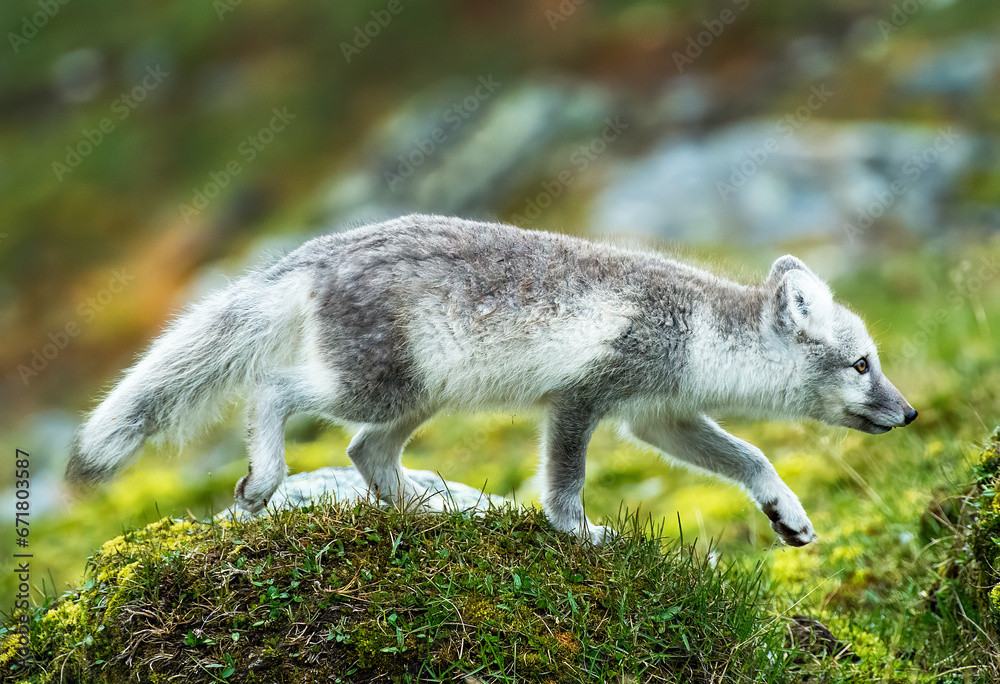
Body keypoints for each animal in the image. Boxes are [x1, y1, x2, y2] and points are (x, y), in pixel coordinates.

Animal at [66, 214, 917, 546]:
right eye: (862, 364)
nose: (908, 414)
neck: (697, 331)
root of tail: (320, 250)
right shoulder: (582, 399)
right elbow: (565, 483)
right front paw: (582, 535)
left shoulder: (658, 416)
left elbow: (753, 458)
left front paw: (787, 515)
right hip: (375, 386)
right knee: (273, 390)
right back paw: (266, 478)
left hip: (417, 397)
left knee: (364, 455)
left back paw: (432, 510)